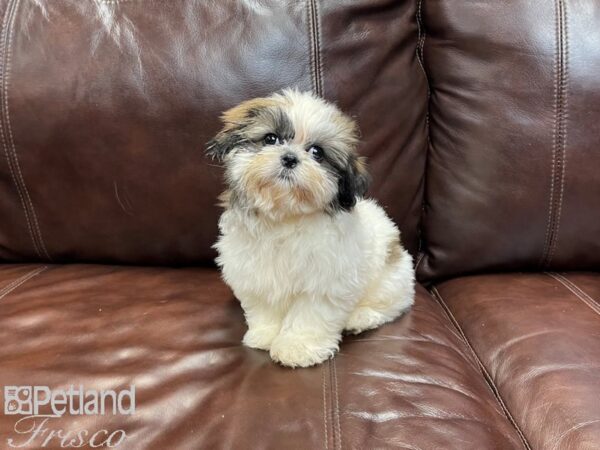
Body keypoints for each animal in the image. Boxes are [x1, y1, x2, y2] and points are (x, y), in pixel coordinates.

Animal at [206, 89, 412, 368]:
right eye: (270, 139)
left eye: (317, 152)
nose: (290, 158)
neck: (285, 217)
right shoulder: (255, 272)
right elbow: (265, 306)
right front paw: (265, 335)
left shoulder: (325, 282)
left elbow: (310, 315)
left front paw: (297, 348)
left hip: (388, 280)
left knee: (390, 305)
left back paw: (359, 318)